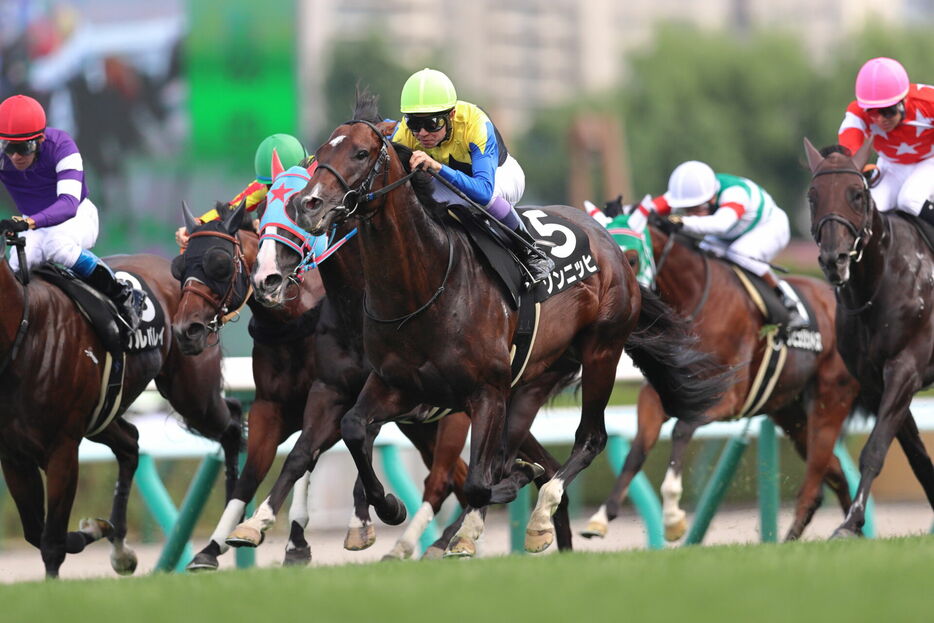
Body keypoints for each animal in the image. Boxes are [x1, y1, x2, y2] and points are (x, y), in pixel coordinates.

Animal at [0, 225, 241, 580]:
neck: (24, 331)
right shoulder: (14, 455)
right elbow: (34, 531)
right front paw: (96, 528)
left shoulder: (62, 448)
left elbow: (51, 540)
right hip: (104, 415)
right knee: (130, 441)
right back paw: (120, 548)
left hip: (194, 394)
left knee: (233, 425)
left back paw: (225, 528)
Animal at [258, 90, 732, 552]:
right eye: (320, 154)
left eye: (359, 153)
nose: (307, 205)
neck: (424, 286)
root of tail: (611, 244)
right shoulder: (391, 384)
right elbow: (354, 430)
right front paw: (388, 507)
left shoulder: (483, 393)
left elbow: (478, 481)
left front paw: (489, 505)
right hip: (532, 381)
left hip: (601, 351)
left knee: (588, 439)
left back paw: (535, 515)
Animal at [584, 212, 864, 544]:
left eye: (631, 258)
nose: (620, 312)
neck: (694, 302)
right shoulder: (657, 396)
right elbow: (637, 451)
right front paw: (601, 517)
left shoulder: (727, 398)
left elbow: (682, 429)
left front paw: (673, 516)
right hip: (791, 413)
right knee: (834, 472)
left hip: (830, 402)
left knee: (816, 478)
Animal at [804, 138, 934, 536]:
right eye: (812, 196)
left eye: (857, 194)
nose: (834, 259)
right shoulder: (875, 381)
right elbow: (915, 457)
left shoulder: (906, 368)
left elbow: (875, 449)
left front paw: (850, 522)